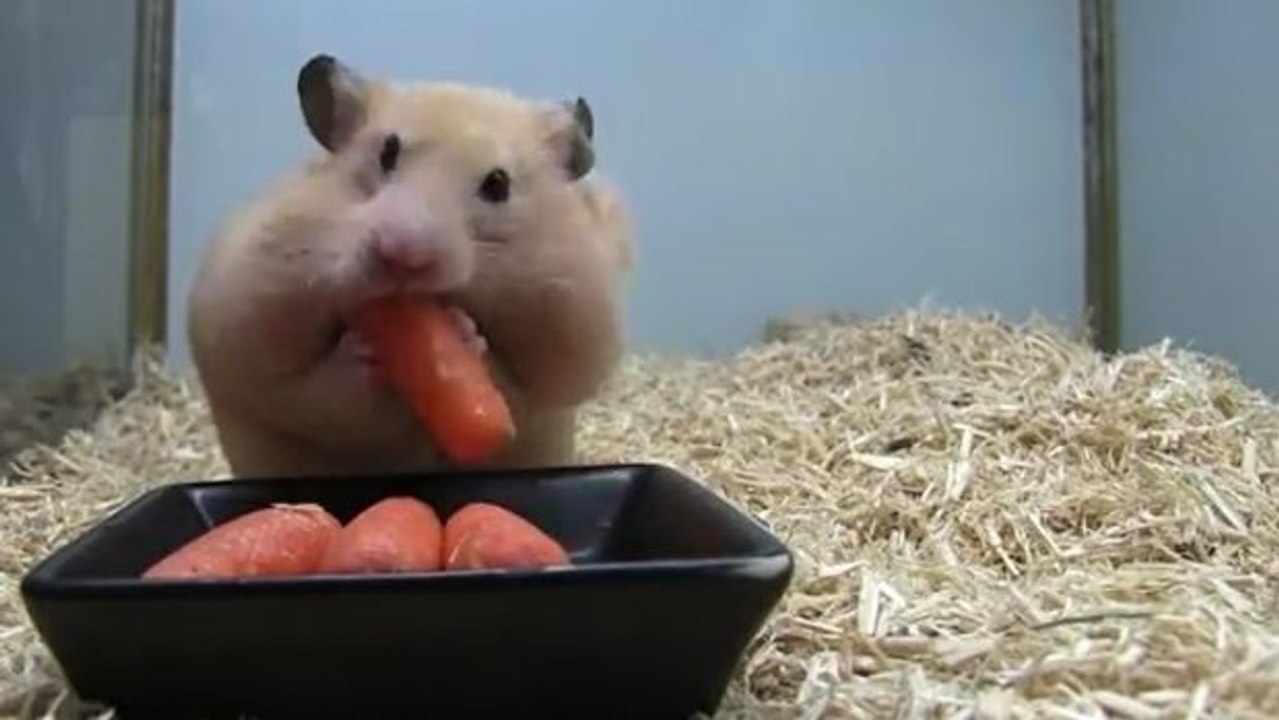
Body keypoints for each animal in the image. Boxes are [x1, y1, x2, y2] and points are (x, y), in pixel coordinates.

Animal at [186, 53, 634, 479]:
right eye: (387, 153)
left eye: (498, 184)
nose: (401, 254)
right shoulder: (251, 343)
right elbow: (318, 394)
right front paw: (363, 349)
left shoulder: (555, 370)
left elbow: (508, 383)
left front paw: (465, 331)